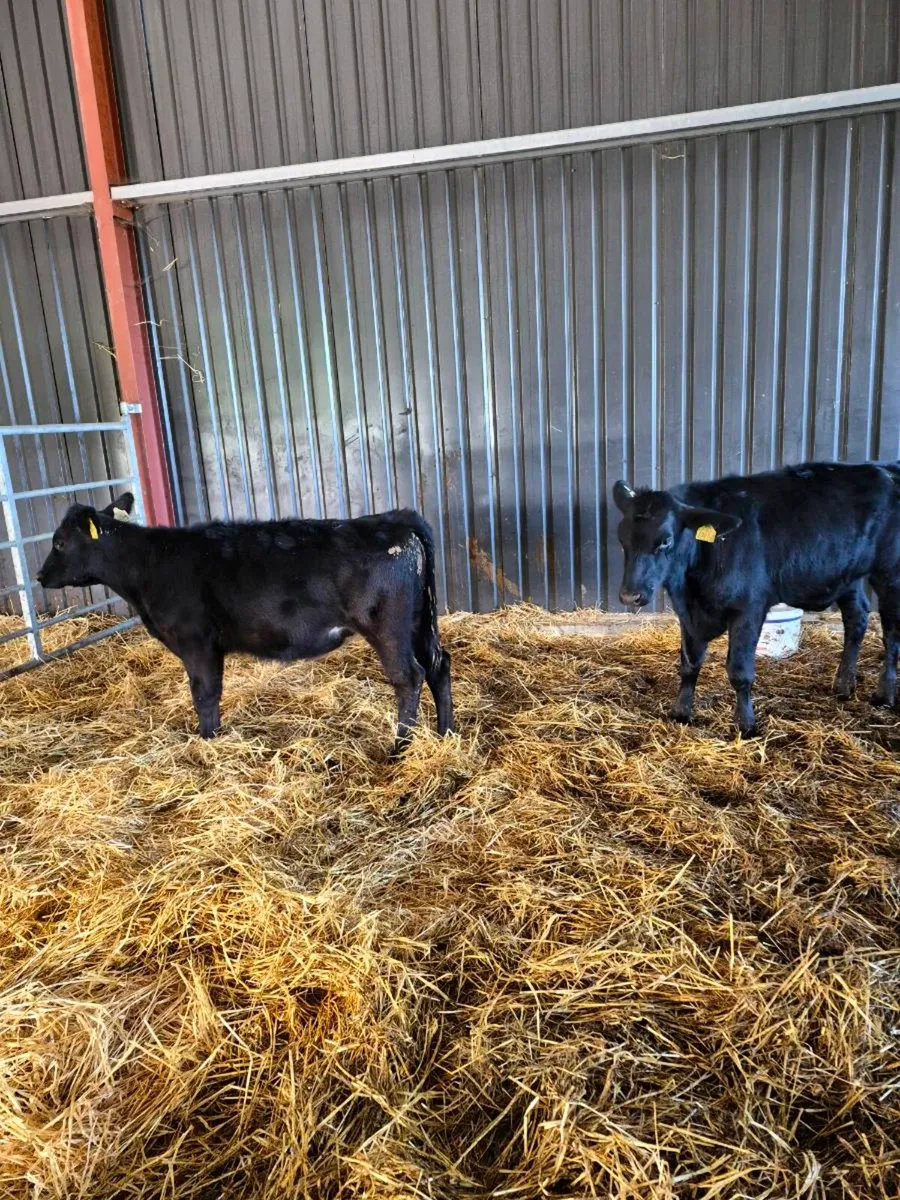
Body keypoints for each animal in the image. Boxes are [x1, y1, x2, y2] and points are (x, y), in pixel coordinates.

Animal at [37, 495, 454, 754]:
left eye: (59, 542)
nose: (40, 576)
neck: (150, 564)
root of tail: (394, 519)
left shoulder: (196, 641)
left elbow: (204, 693)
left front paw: (207, 741)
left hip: (388, 626)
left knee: (409, 677)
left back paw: (400, 748)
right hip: (419, 623)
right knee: (439, 665)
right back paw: (446, 732)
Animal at [613, 462, 900, 737]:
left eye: (665, 541)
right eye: (622, 540)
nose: (629, 595)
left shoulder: (748, 609)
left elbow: (739, 672)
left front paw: (746, 725)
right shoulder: (688, 613)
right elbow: (689, 664)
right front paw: (681, 713)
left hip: (889, 574)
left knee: (890, 634)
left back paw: (884, 695)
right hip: (848, 576)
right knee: (857, 619)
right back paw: (843, 685)